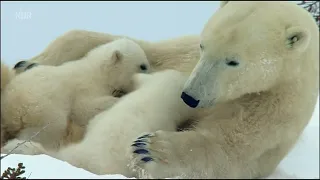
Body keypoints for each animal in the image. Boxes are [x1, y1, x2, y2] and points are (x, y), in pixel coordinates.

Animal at [0, 38, 150, 152]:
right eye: (143, 66)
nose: (151, 74)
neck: (100, 71)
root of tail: (10, 108)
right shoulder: (85, 86)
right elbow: (84, 109)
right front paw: (117, 99)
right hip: (40, 107)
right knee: (49, 128)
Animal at [126, 1, 318, 179]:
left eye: (233, 61)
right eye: (203, 46)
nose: (189, 97)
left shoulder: (274, 110)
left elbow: (227, 149)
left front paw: (149, 149)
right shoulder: (188, 56)